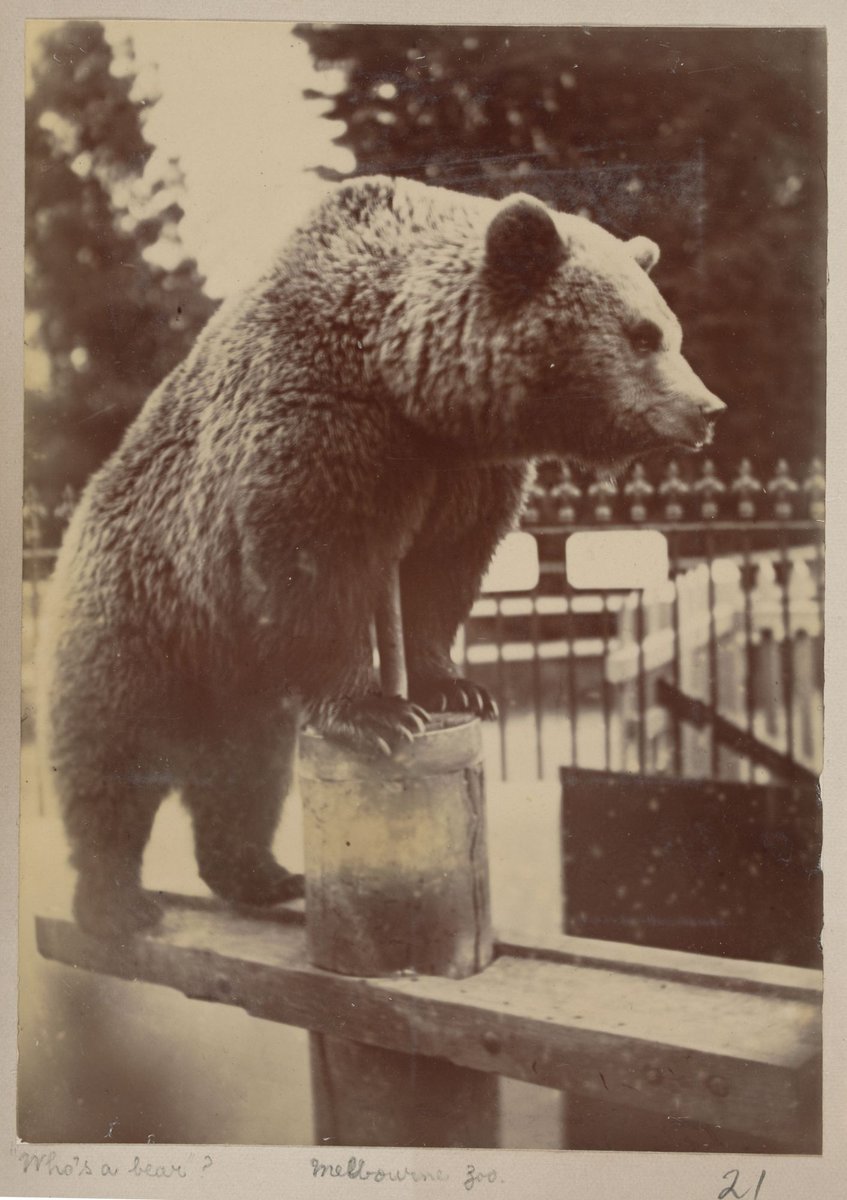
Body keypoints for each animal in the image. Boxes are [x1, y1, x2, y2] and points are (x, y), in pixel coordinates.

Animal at [40, 176, 724, 938]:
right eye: (642, 334)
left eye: (670, 330)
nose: (707, 409)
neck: (405, 379)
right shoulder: (323, 423)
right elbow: (317, 566)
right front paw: (377, 712)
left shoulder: (466, 475)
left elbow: (442, 575)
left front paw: (454, 687)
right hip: (143, 617)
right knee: (109, 762)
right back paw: (118, 903)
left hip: (238, 687)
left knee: (246, 778)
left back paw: (264, 875)